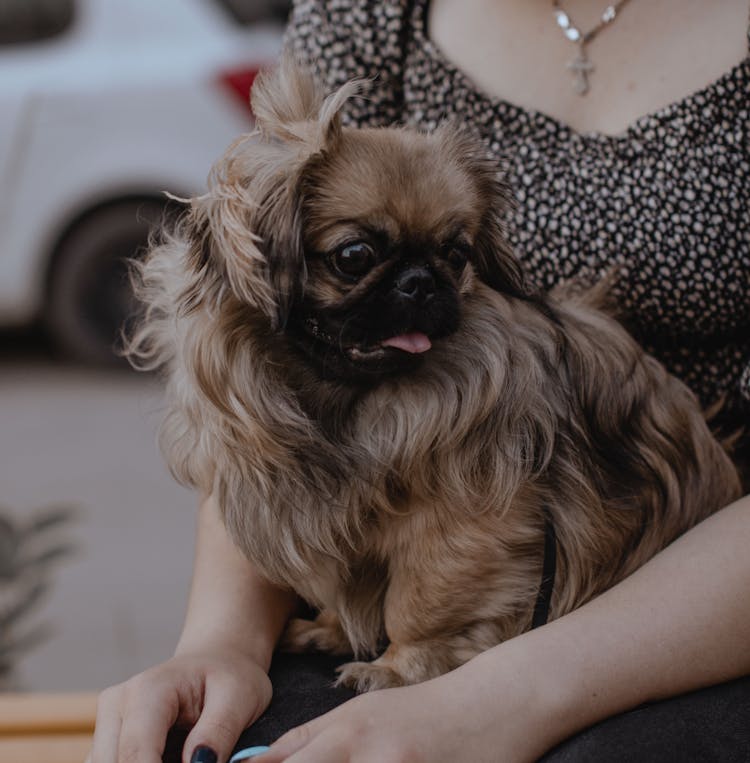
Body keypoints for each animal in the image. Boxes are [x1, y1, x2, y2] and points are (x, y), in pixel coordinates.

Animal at [128, 58, 740, 692]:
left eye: (456, 253)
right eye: (354, 256)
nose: (420, 280)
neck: (344, 406)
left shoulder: (464, 531)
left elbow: (418, 604)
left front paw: (395, 669)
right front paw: (331, 630)